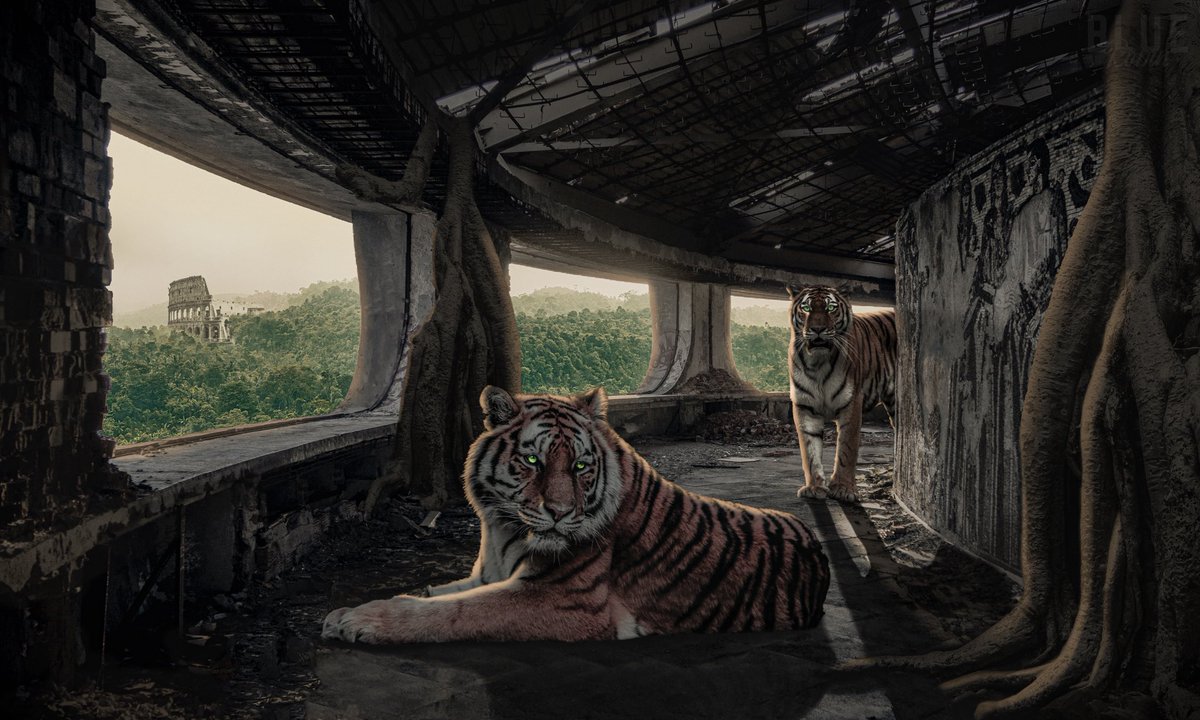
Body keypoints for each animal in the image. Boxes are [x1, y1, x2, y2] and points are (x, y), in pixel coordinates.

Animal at [321, 386, 830, 644]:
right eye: (532, 461)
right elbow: (432, 593)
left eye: (582, 466)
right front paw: (347, 611)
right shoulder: (488, 573)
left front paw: (360, 621)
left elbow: (454, 612)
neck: (503, 529)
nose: (561, 514)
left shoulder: (564, 602)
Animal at [787, 286, 897, 503]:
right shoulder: (805, 406)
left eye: (830, 308)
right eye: (806, 307)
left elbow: (847, 448)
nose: (818, 329)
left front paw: (843, 489)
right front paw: (814, 487)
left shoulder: (851, 403)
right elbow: (809, 449)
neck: (818, 364)